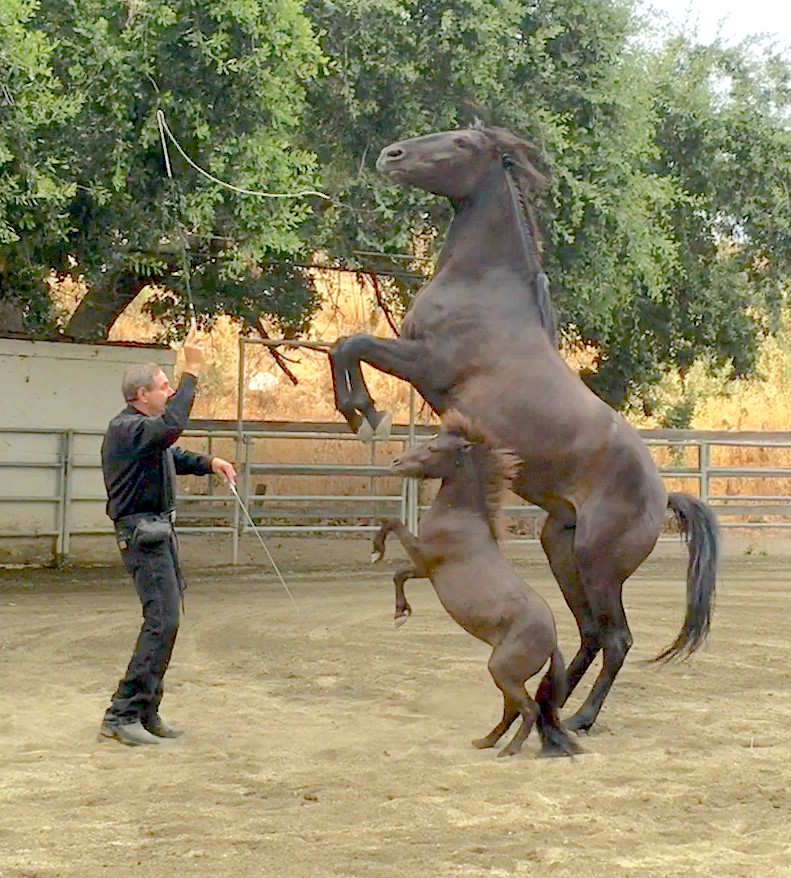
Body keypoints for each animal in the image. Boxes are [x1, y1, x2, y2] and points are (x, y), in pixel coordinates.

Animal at [372, 411, 580, 758]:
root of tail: (552, 644)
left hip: (502, 670)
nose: (395, 462)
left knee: (528, 708)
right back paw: (485, 741)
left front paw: (376, 552)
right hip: (505, 674)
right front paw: (401, 613)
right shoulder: (426, 570)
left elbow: (393, 526)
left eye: (434, 448)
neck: (460, 517)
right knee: (512, 709)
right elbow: (399, 574)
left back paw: (508, 751)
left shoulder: (424, 557)